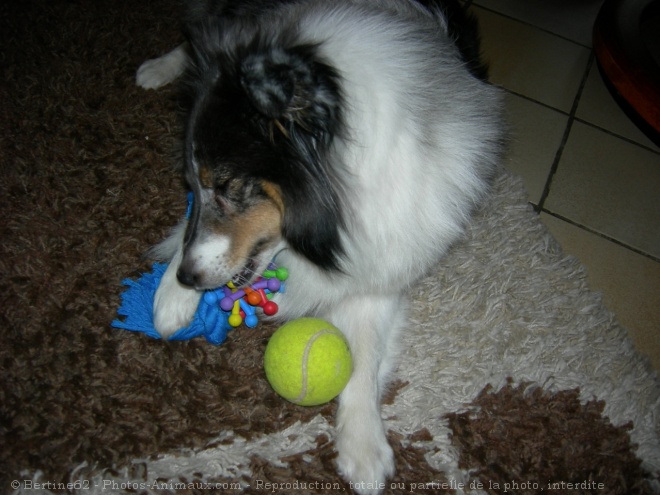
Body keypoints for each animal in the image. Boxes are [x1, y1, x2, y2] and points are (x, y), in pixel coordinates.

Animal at [137, 1, 502, 494]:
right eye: (194, 184)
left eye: (229, 186)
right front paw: (171, 298)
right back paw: (160, 66)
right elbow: (188, 230)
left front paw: (364, 449)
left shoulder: (380, 268)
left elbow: (364, 357)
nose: (187, 278)